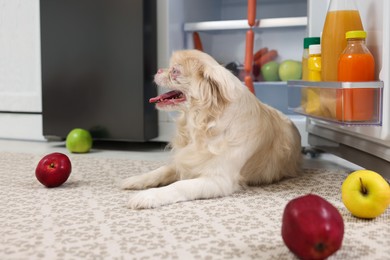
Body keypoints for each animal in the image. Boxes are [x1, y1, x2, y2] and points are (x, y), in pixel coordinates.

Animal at [121, 49, 302, 209]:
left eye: (175, 71)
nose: (158, 70)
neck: (200, 124)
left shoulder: (217, 180)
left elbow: (179, 186)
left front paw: (148, 196)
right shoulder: (185, 160)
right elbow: (161, 170)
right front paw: (136, 179)